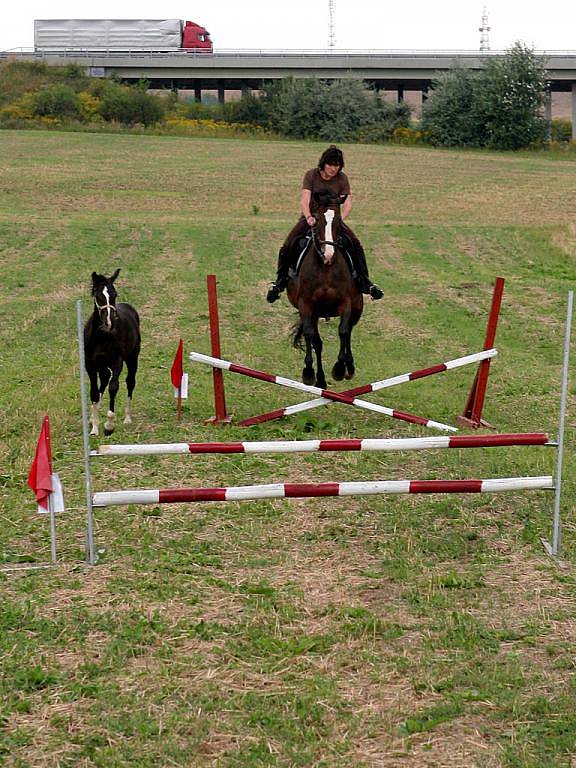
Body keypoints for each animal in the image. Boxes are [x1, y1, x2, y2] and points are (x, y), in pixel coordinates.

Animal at [84, 270, 141, 438]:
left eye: (114, 294)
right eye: (98, 295)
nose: (110, 322)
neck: (101, 336)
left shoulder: (117, 361)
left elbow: (113, 387)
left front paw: (109, 425)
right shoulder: (90, 364)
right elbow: (94, 392)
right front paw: (94, 428)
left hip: (132, 357)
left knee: (130, 382)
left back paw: (127, 418)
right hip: (102, 365)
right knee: (103, 380)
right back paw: (92, 417)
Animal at [286, 187, 362, 390]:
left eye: (338, 221)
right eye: (318, 220)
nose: (328, 254)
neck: (326, 267)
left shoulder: (345, 302)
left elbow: (343, 331)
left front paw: (339, 368)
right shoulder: (306, 306)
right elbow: (311, 336)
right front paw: (308, 373)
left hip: (357, 307)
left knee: (349, 332)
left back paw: (349, 367)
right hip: (315, 314)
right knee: (317, 342)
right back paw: (320, 379)